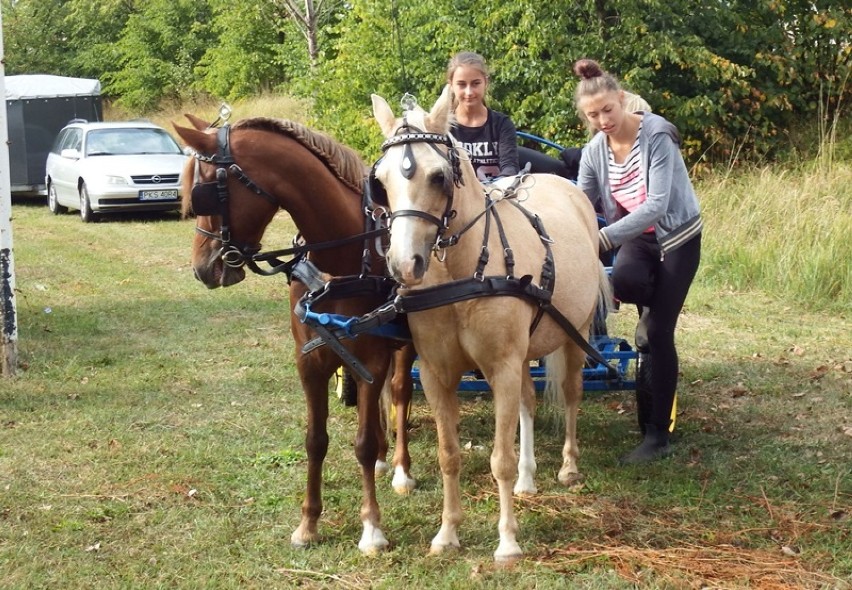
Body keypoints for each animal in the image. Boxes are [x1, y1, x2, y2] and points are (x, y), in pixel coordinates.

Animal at [172, 115, 416, 556]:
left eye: (207, 194)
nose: (202, 268)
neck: (340, 262)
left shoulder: (371, 357)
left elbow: (361, 442)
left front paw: (372, 528)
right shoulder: (310, 360)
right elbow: (315, 440)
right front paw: (308, 524)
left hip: (404, 346)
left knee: (401, 393)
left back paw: (401, 469)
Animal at [376, 88, 608, 564]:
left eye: (439, 177)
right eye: (381, 180)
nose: (404, 264)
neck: (465, 273)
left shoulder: (500, 366)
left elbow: (499, 459)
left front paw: (507, 541)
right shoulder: (437, 374)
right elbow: (449, 455)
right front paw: (447, 534)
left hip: (573, 335)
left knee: (570, 395)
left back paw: (568, 466)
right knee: (527, 402)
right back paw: (527, 478)